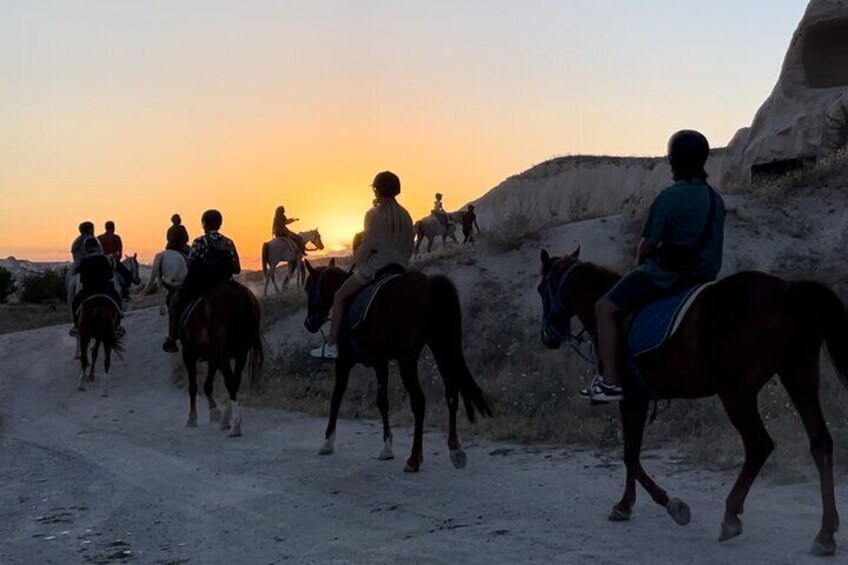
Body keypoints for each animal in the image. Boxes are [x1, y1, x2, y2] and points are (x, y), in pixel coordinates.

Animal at [182, 280, 264, 436]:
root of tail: (239, 295)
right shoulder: (214, 358)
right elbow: (208, 384)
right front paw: (217, 413)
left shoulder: (189, 354)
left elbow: (193, 386)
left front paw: (192, 418)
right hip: (240, 353)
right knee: (234, 381)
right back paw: (229, 421)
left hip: (222, 353)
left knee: (231, 382)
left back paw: (235, 425)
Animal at [304, 260, 490, 472]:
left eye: (307, 287)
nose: (309, 323)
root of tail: (428, 284)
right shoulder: (381, 363)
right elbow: (383, 402)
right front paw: (387, 446)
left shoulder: (345, 361)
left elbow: (337, 397)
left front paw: (327, 442)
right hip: (440, 348)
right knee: (451, 392)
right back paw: (455, 449)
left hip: (407, 359)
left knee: (419, 401)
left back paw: (414, 458)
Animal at [536, 248, 848, 556]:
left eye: (540, 289)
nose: (548, 337)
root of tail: (787, 290)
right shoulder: (639, 399)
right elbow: (631, 453)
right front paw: (626, 505)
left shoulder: (632, 398)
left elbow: (630, 455)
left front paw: (667, 506)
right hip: (799, 379)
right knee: (820, 443)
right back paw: (826, 533)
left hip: (736, 393)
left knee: (759, 445)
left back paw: (731, 516)